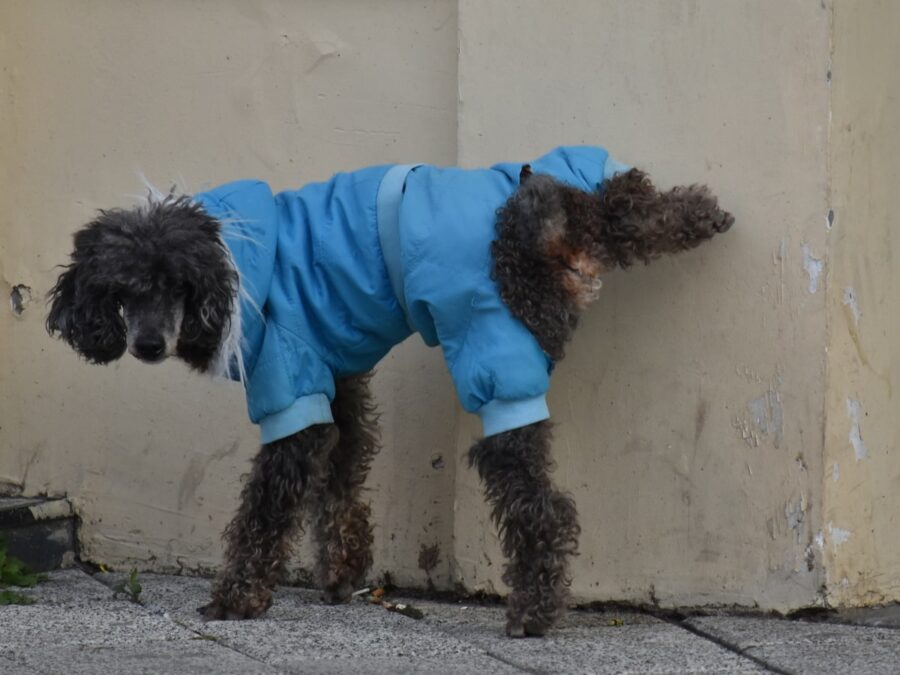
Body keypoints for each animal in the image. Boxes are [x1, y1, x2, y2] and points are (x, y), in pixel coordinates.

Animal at [44, 145, 732, 636]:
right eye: (122, 291)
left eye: (177, 286)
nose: (148, 344)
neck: (238, 260)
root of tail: (533, 218)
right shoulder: (337, 383)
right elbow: (341, 483)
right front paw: (342, 573)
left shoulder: (291, 389)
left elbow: (266, 507)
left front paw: (237, 598)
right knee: (620, 211)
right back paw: (695, 212)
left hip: (489, 348)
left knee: (541, 503)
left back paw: (533, 612)